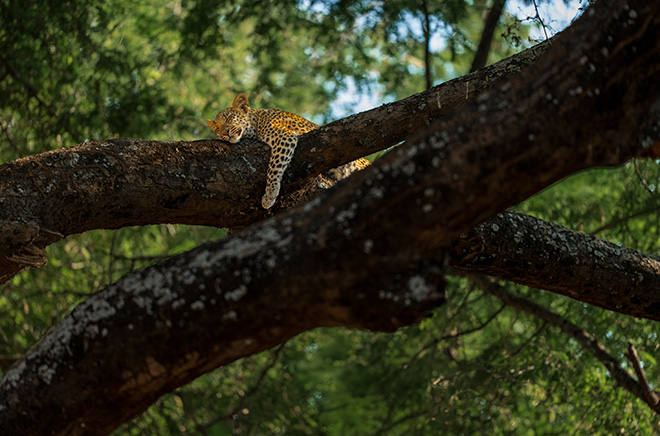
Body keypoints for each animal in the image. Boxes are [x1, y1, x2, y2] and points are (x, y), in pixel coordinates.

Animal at [207, 93, 370, 209]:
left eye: (229, 117)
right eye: (217, 129)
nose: (225, 132)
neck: (256, 121)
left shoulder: (284, 136)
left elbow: (274, 166)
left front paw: (270, 194)